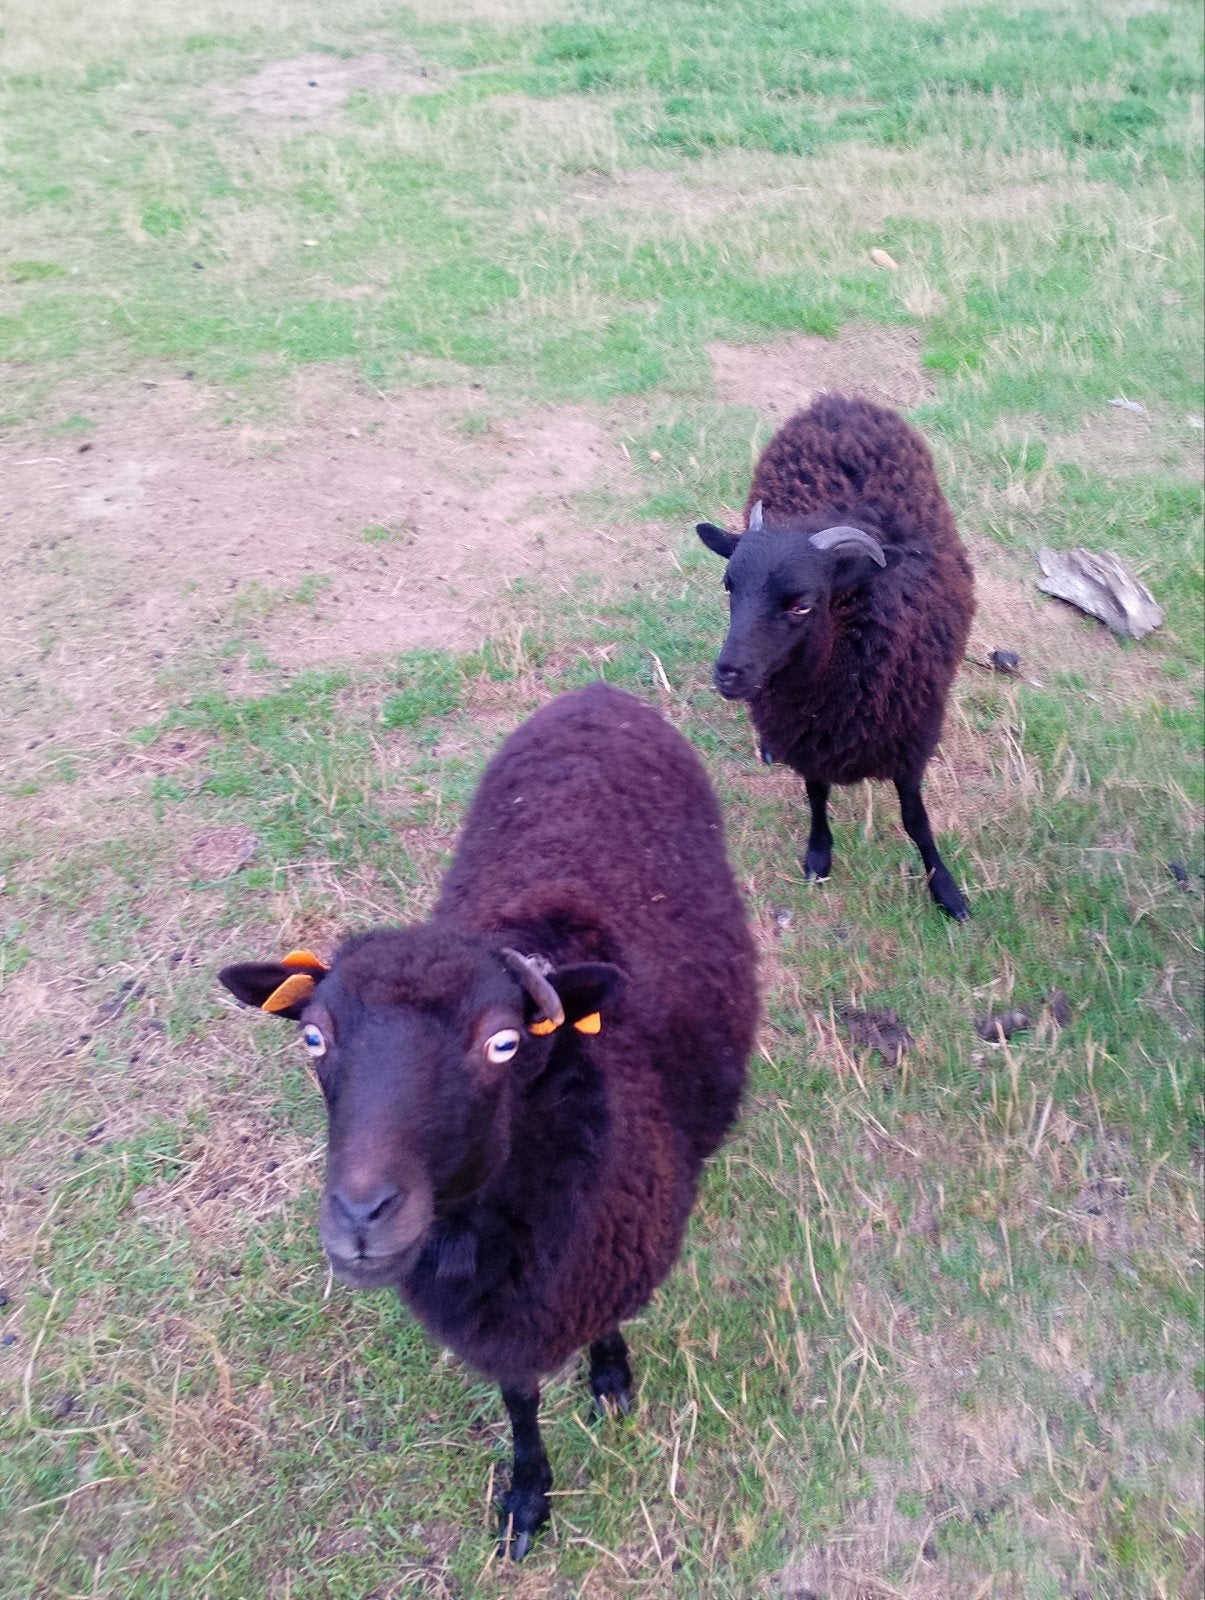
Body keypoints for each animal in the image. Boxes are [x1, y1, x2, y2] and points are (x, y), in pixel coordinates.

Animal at [217, 681, 758, 1559]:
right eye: (312, 1037)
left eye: (502, 1041)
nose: (362, 1215)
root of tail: (598, 691)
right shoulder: (499, 1315)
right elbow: (519, 1399)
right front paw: (528, 1494)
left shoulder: (603, 1257)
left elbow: (605, 1327)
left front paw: (609, 1379)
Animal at [696, 392, 975, 920]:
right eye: (729, 586)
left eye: (802, 604)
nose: (728, 676)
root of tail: (839, 399)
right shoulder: (808, 737)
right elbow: (816, 793)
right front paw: (818, 856)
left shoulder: (909, 735)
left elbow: (915, 819)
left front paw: (946, 889)